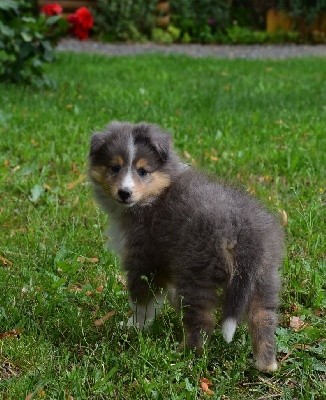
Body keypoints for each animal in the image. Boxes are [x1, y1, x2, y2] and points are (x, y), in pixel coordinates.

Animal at [88, 121, 284, 372]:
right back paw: (266, 364)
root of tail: (242, 232)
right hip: (264, 276)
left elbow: (142, 300)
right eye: (114, 167)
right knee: (263, 317)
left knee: (202, 321)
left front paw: (133, 326)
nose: (124, 193)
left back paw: (184, 354)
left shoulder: (144, 259)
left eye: (143, 171)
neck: (156, 194)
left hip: (196, 273)